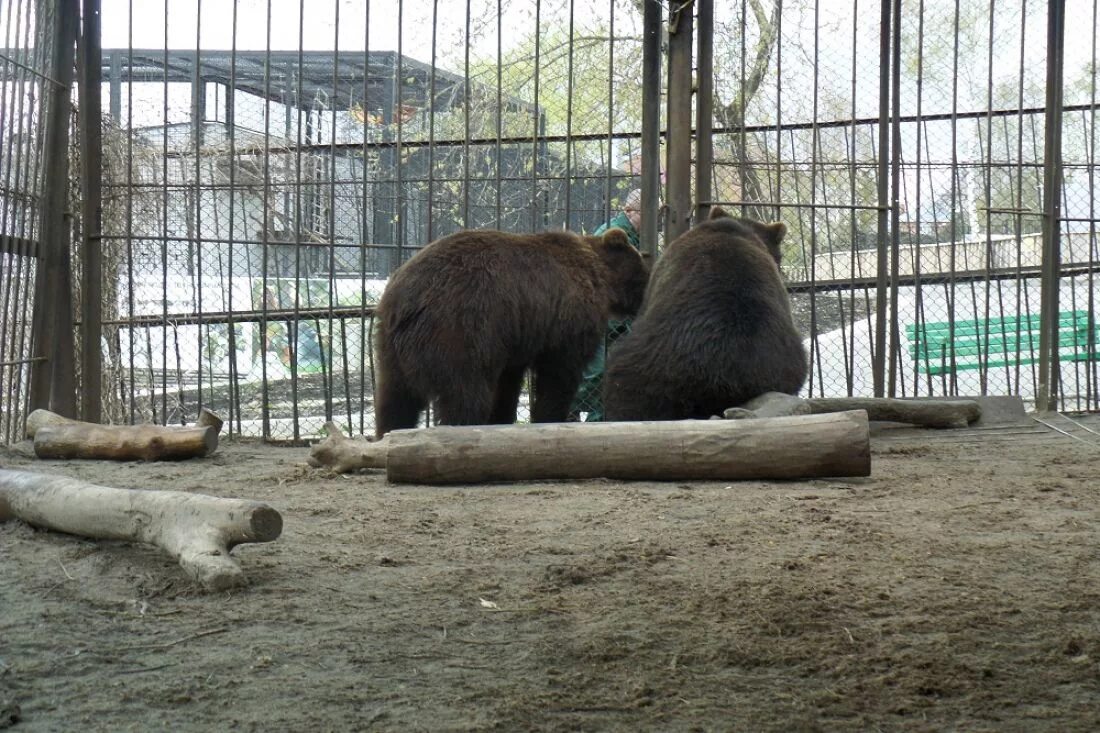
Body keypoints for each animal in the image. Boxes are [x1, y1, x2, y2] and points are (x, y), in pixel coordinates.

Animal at [374, 226, 646, 433]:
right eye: (643, 274)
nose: (644, 302)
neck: (601, 276)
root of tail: (409, 301)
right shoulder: (567, 320)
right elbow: (559, 374)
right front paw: (549, 416)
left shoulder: (516, 338)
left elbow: (508, 383)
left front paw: (502, 418)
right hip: (458, 330)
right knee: (464, 393)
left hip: (389, 345)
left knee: (395, 398)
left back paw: (389, 432)